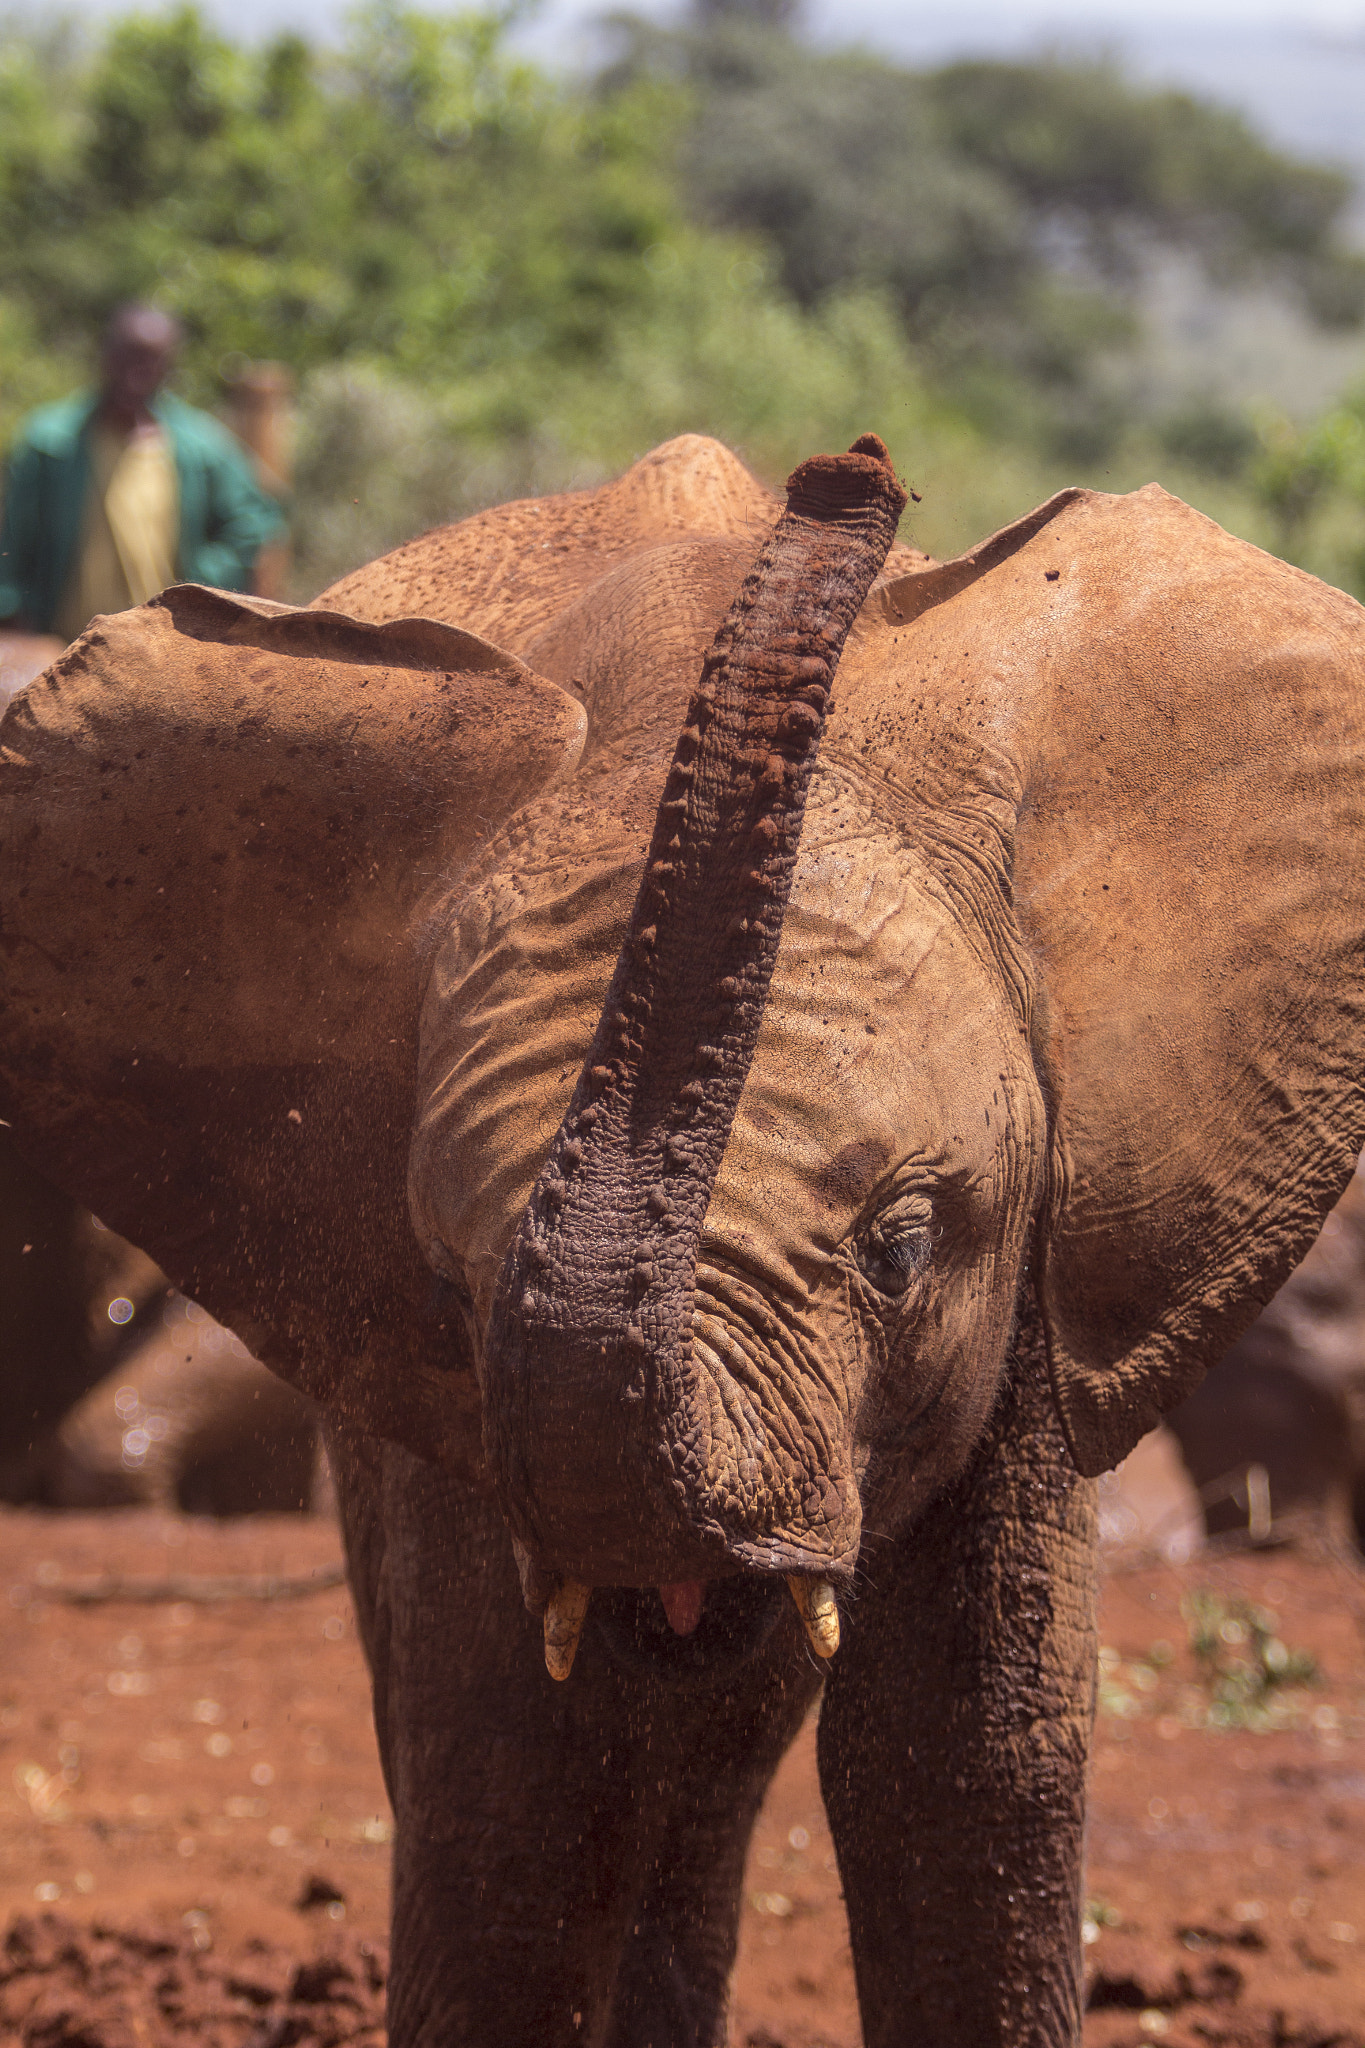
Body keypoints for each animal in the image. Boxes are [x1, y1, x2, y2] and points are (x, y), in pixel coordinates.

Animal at [2, 432, 1365, 2048]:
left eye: (902, 1248)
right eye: (447, 1288)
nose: (855, 467)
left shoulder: (1047, 1245)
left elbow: (961, 1763)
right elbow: (507, 1775)